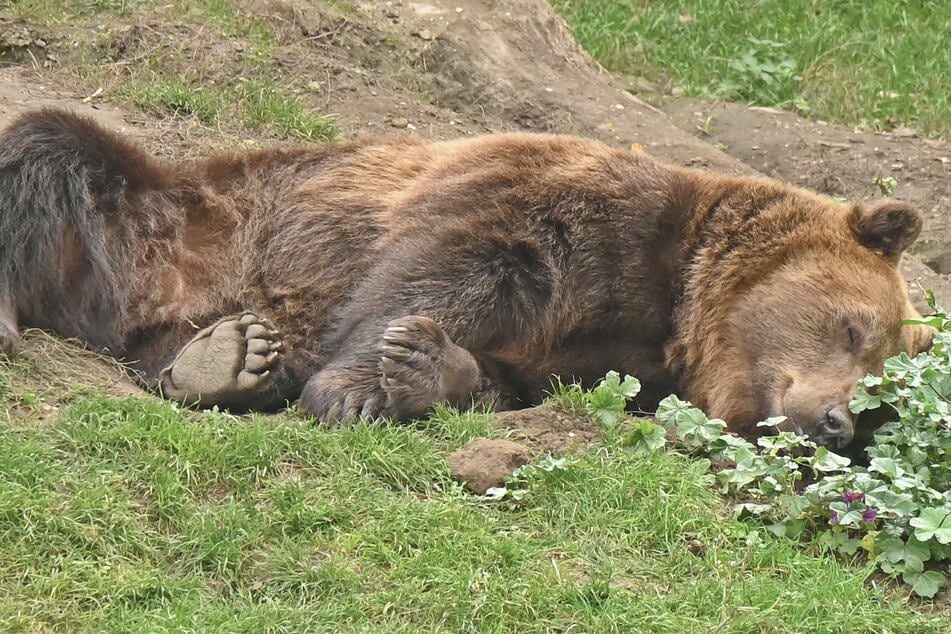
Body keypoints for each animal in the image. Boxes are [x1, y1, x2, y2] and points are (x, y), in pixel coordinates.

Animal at [0, 108, 928, 446]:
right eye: (852, 329)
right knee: (48, 146)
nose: (836, 421)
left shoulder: (611, 354)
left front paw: (427, 369)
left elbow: (513, 377)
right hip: (165, 214)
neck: (678, 304)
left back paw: (225, 359)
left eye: (880, 387)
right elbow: (441, 263)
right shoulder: (562, 205)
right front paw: (353, 387)